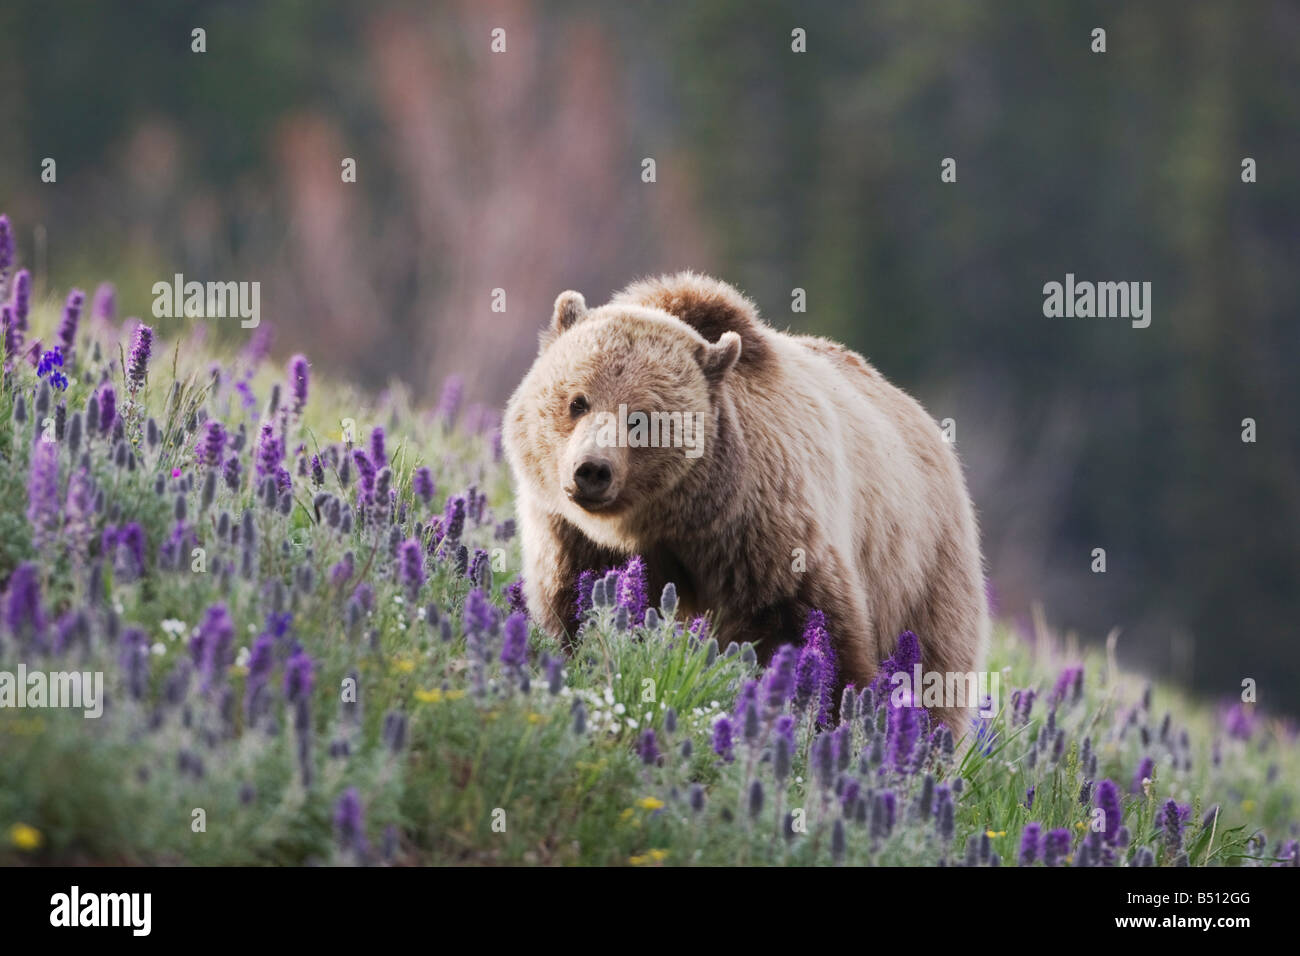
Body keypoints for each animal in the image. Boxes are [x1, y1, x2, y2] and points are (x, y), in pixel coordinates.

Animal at [501, 270, 987, 733]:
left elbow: (808, 631)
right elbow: (577, 606)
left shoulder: (763, 531)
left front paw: (824, 714)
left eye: (641, 418)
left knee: (933, 669)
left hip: (921, 569)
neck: (667, 518)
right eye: (577, 401)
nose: (592, 470)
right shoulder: (573, 536)